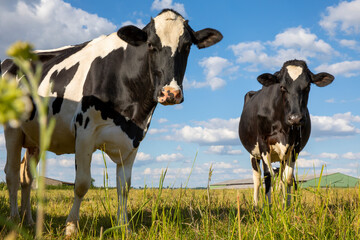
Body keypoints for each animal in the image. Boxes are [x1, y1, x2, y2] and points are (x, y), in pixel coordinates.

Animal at [2, 8, 222, 234]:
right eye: (151, 45)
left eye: (187, 46)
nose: (170, 93)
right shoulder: (85, 133)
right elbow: (81, 183)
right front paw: (71, 227)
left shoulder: (134, 140)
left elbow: (123, 188)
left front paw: (124, 227)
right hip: (12, 128)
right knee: (12, 174)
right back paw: (14, 219)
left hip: (34, 137)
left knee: (27, 177)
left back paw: (28, 221)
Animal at [239, 59, 334, 206]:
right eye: (282, 87)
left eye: (308, 86)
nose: (295, 118)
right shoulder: (263, 142)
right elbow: (268, 176)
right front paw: (268, 208)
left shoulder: (295, 146)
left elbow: (288, 178)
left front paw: (286, 207)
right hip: (253, 152)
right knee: (257, 178)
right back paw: (255, 205)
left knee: (282, 177)